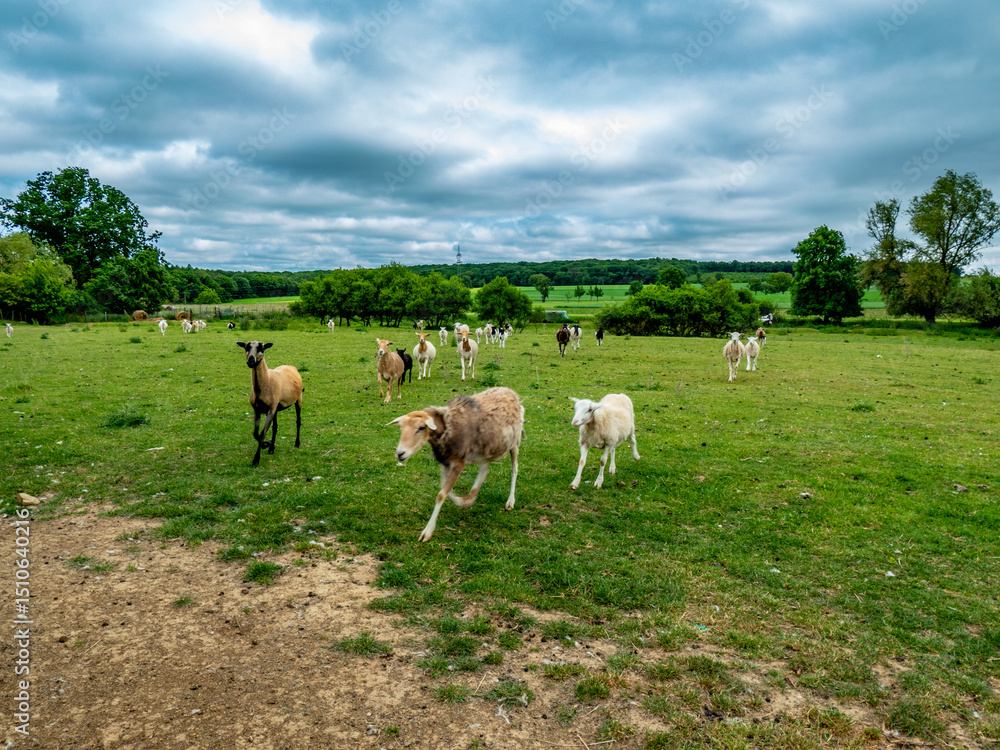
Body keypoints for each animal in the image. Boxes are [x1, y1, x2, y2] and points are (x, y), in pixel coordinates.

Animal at [387, 386, 524, 542]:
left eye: (421, 428)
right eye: (401, 428)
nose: (400, 453)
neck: (449, 426)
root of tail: (509, 390)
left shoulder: (459, 462)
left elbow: (441, 494)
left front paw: (427, 531)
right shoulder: (445, 461)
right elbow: (444, 489)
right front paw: (463, 501)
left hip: (515, 443)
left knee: (514, 469)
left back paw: (510, 501)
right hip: (488, 446)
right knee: (485, 468)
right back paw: (472, 494)